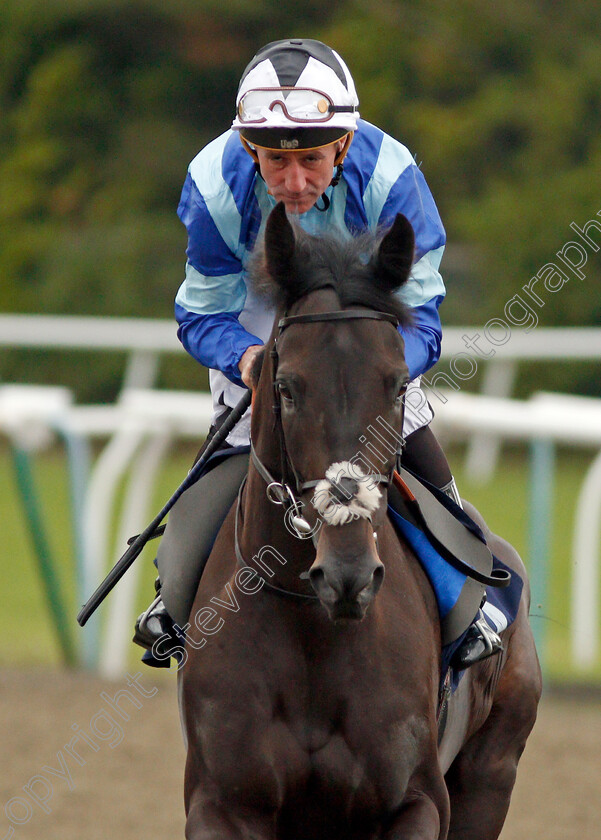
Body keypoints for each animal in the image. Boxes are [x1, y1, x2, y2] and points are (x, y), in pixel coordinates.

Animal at [176, 203, 540, 840]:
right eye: (287, 387)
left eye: (396, 384)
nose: (348, 575)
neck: (314, 632)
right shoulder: (223, 803)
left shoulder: (415, 802)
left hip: (492, 772)